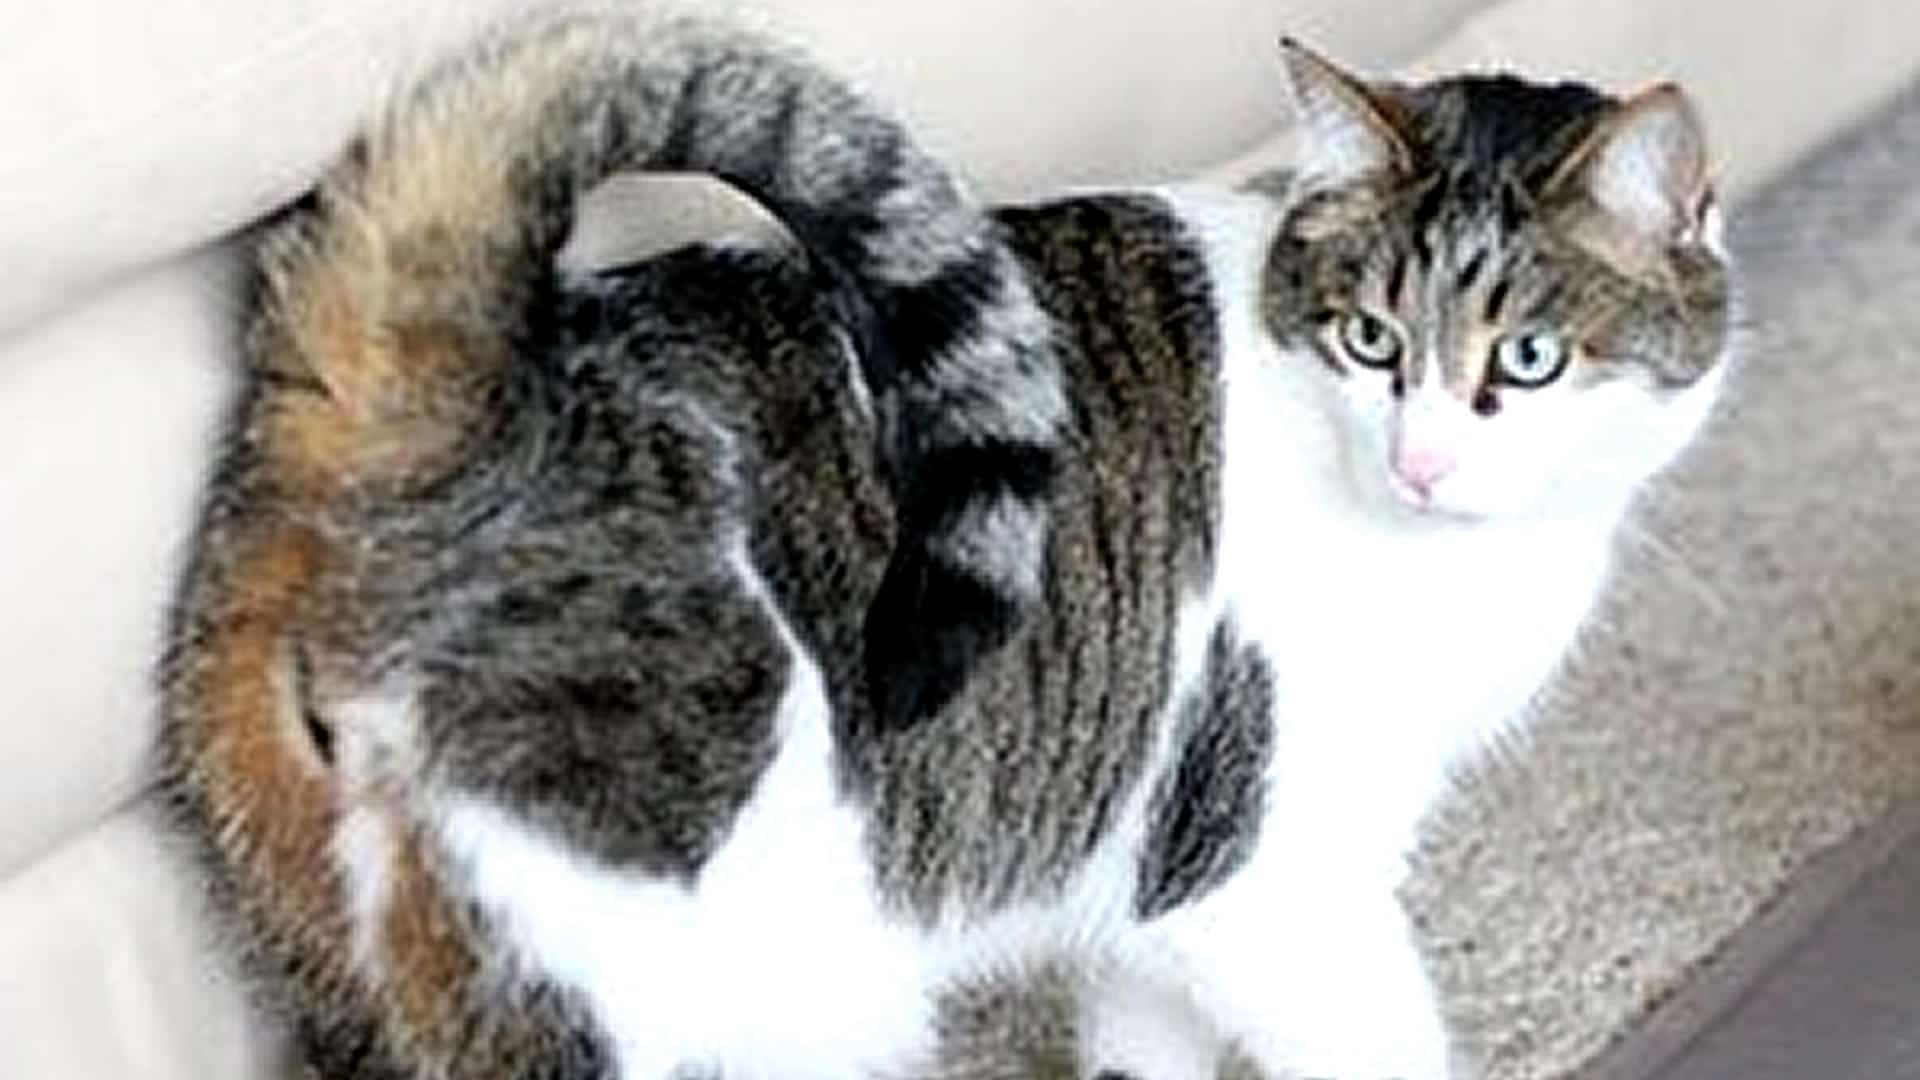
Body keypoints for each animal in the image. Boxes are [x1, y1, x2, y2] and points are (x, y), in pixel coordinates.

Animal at [157, 4, 1735, 1068]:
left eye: (1525, 359)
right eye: (1370, 340)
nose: (1424, 463)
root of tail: (422, 401)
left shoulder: (1150, 875)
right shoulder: (1265, 875)